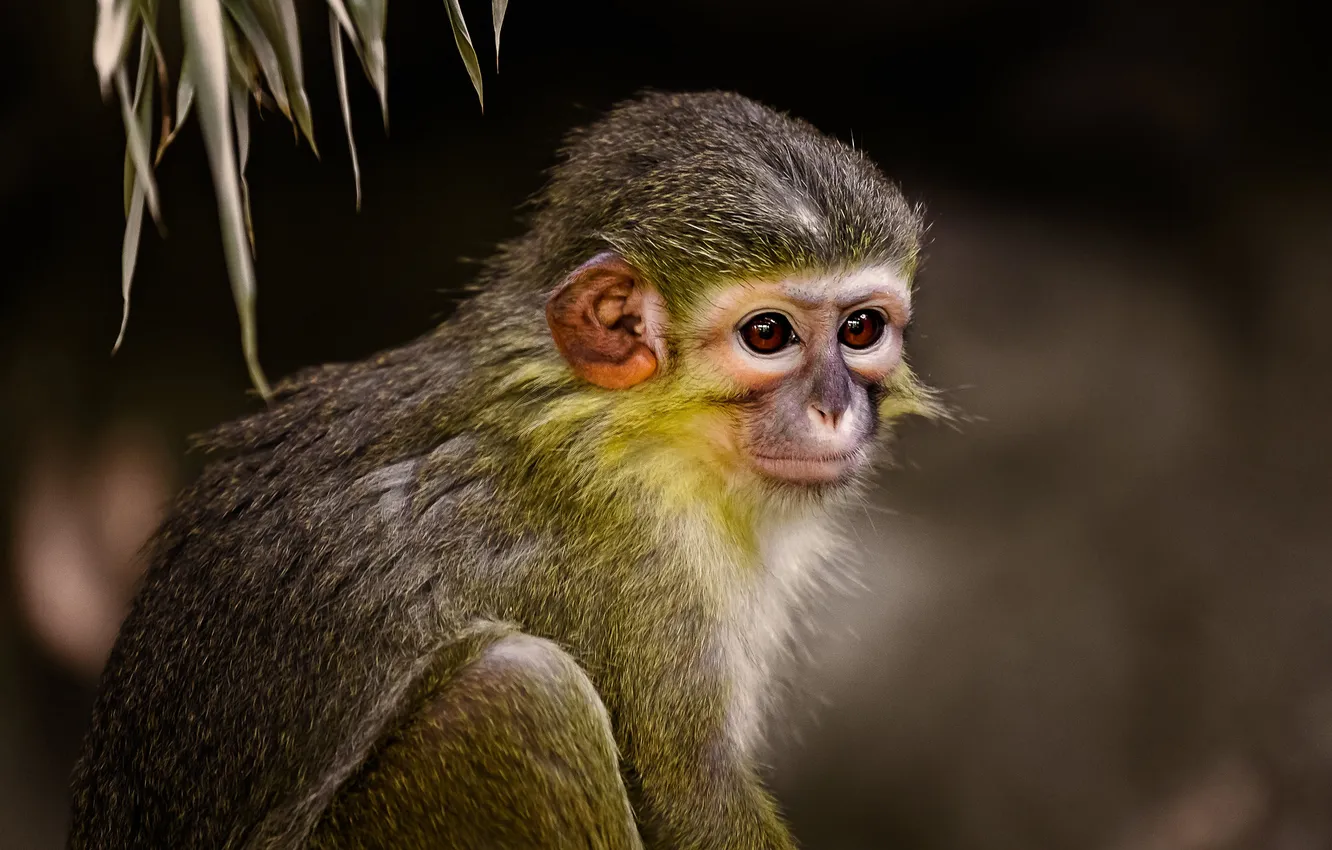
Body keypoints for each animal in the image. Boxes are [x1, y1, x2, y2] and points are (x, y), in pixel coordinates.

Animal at [68, 90, 936, 849]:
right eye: (768, 335)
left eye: (861, 329)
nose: (834, 408)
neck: (617, 418)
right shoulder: (642, 568)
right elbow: (695, 803)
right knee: (518, 689)